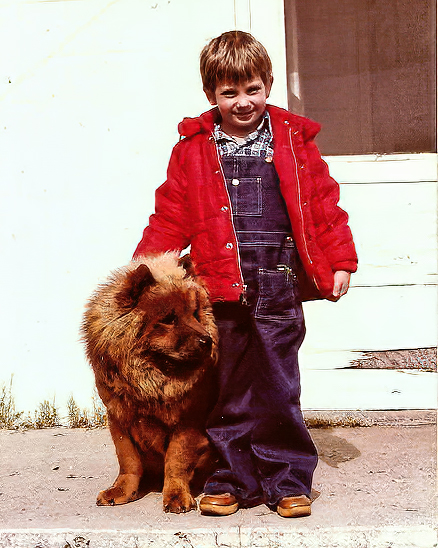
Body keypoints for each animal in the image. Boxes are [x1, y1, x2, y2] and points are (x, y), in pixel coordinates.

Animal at [81, 253, 218, 512]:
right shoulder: (119, 417)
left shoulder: (187, 422)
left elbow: (176, 460)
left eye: (195, 315)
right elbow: (128, 461)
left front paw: (176, 497)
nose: (207, 341)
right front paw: (121, 491)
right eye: (169, 319)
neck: (148, 384)